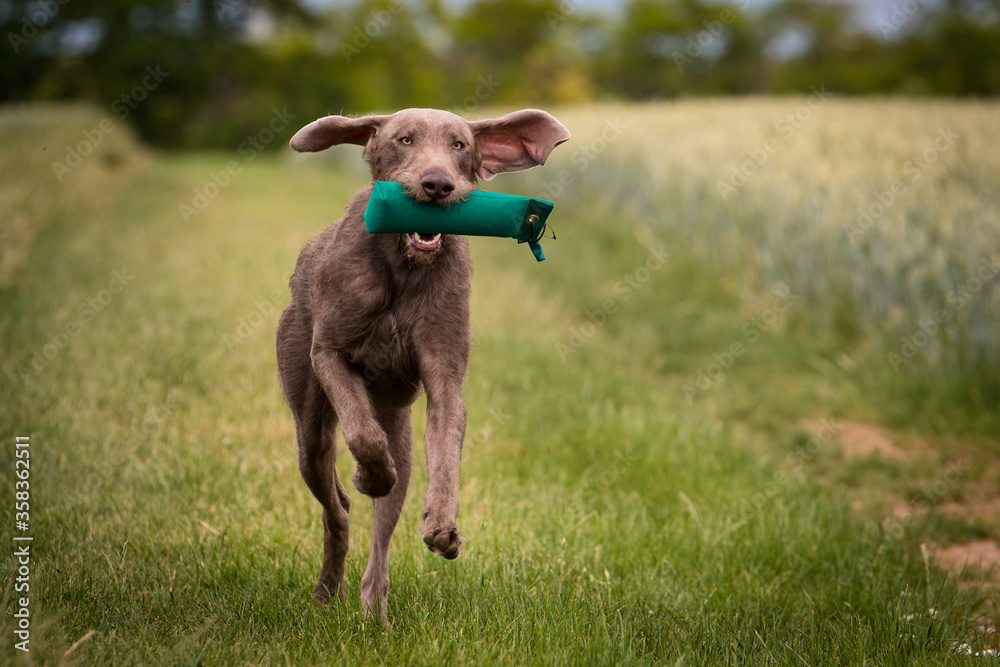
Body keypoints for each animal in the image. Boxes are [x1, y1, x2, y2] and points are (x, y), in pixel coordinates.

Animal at [278, 105, 572, 620]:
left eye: (459, 145)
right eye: (404, 139)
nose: (437, 184)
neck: (403, 265)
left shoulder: (445, 376)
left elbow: (447, 448)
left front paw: (442, 524)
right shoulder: (327, 353)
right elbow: (360, 431)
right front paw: (368, 473)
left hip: (399, 431)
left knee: (382, 522)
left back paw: (373, 608)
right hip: (308, 427)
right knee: (337, 505)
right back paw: (327, 589)